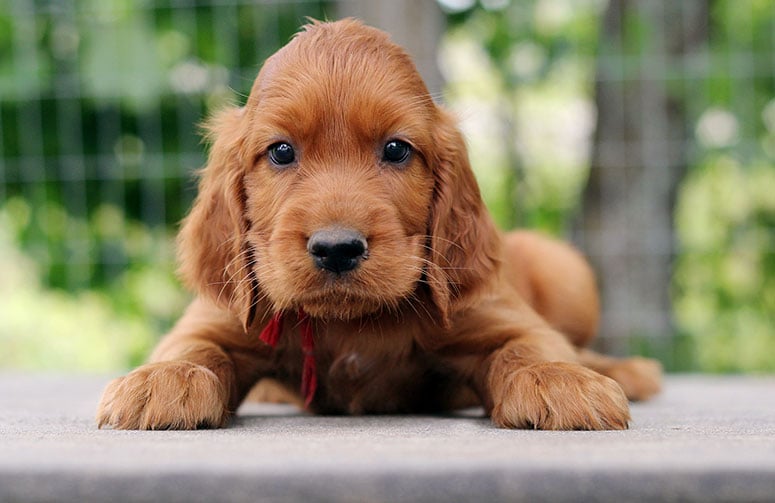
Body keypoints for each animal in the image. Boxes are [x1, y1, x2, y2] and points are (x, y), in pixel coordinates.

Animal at [95, 18, 660, 430]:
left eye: (396, 149)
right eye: (281, 151)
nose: (337, 248)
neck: (349, 324)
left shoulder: (497, 314)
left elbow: (529, 345)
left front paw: (557, 378)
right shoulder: (219, 316)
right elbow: (191, 345)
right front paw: (164, 378)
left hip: (565, 271)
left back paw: (622, 369)